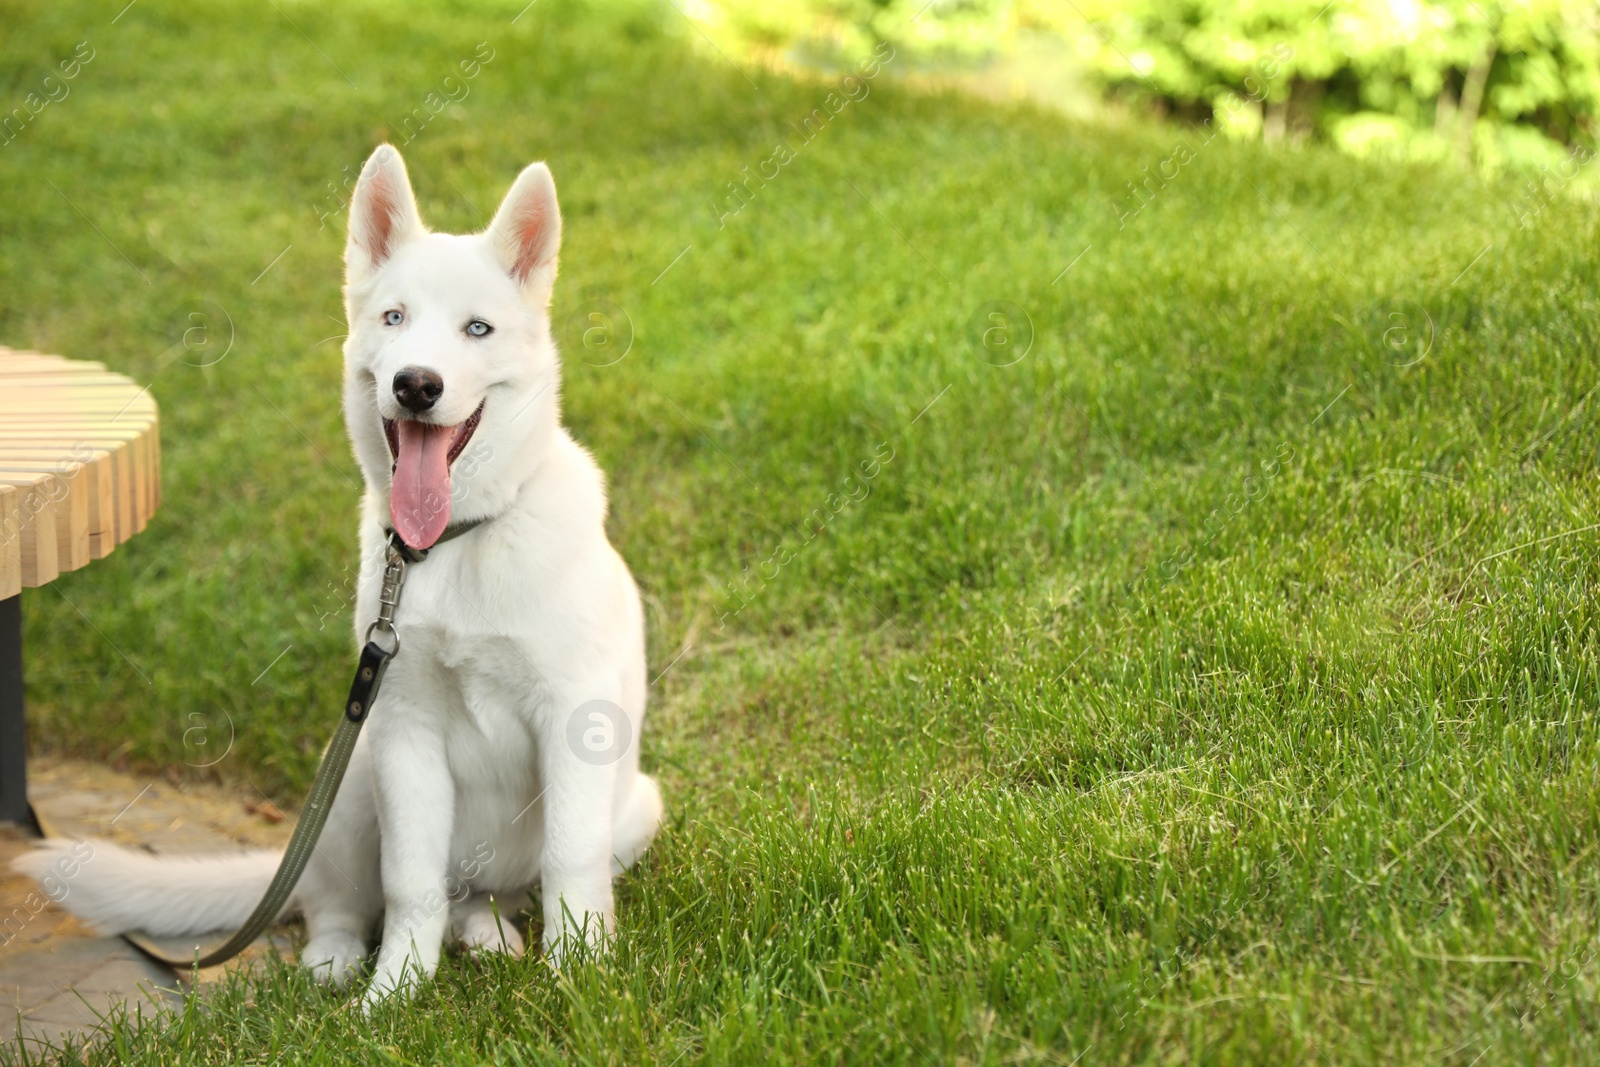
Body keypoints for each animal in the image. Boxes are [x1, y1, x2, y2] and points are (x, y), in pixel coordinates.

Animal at [15, 146, 662, 1004]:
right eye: (393, 318)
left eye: (477, 328)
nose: (416, 384)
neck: (455, 543)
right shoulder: (405, 732)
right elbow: (409, 885)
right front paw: (392, 996)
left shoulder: (575, 726)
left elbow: (569, 865)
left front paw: (581, 976)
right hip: (355, 776)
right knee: (348, 900)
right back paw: (338, 959)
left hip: (634, 803)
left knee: (486, 895)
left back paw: (488, 932)